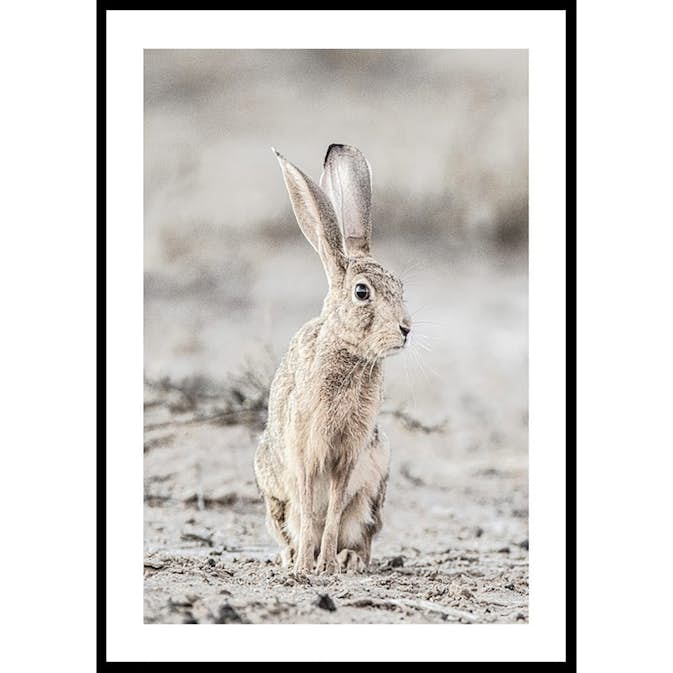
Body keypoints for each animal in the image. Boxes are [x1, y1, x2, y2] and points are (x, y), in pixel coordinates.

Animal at [254, 144, 411, 575]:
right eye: (362, 292)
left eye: (400, 287)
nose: (406, 329)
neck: (349, 355)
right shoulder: (307, 450)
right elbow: (311, 507)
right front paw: (307, 566)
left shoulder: (349, 455)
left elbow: (335, 509)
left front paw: (326, 564)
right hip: (272, 491)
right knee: (291, 523)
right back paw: (291, 557)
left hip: (375, 487)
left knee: (360, 533)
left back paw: (348, 558)